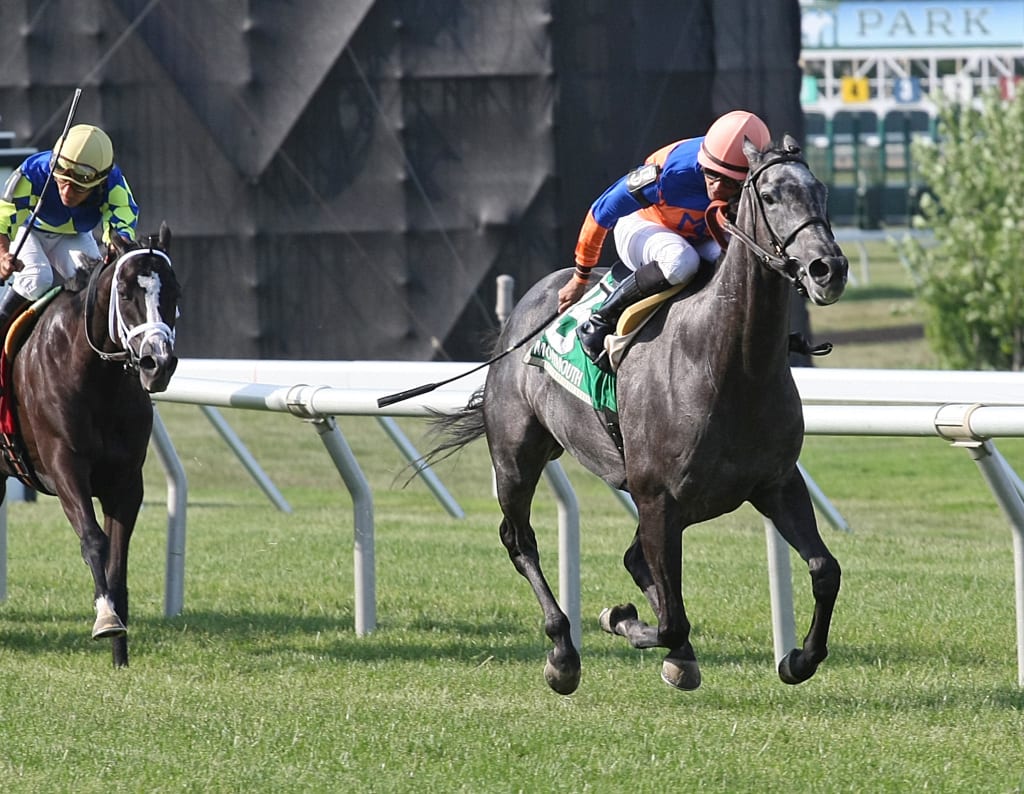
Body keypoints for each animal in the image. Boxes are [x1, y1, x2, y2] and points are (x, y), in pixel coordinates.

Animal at [0, 225, 180, 672]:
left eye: (174, 292)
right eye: (127, 293)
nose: (158, 363)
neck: (98, 379)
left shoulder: (127, 482)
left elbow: (118, 563)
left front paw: (120, 654)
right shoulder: (65, 465)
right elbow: (93, 540)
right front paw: (105, 619)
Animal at [425, 138, 847, 696]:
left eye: (821, 191)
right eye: (772, 196)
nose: (828, 269)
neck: (730, 365)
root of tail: (526, 308)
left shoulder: (775, 483)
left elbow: (825, 569)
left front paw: (798, 659)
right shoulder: (658, 499)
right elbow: (669, 621)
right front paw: (619, 619)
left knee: (633, 561)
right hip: (517, 456)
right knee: (520, 541)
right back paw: (563, 652)